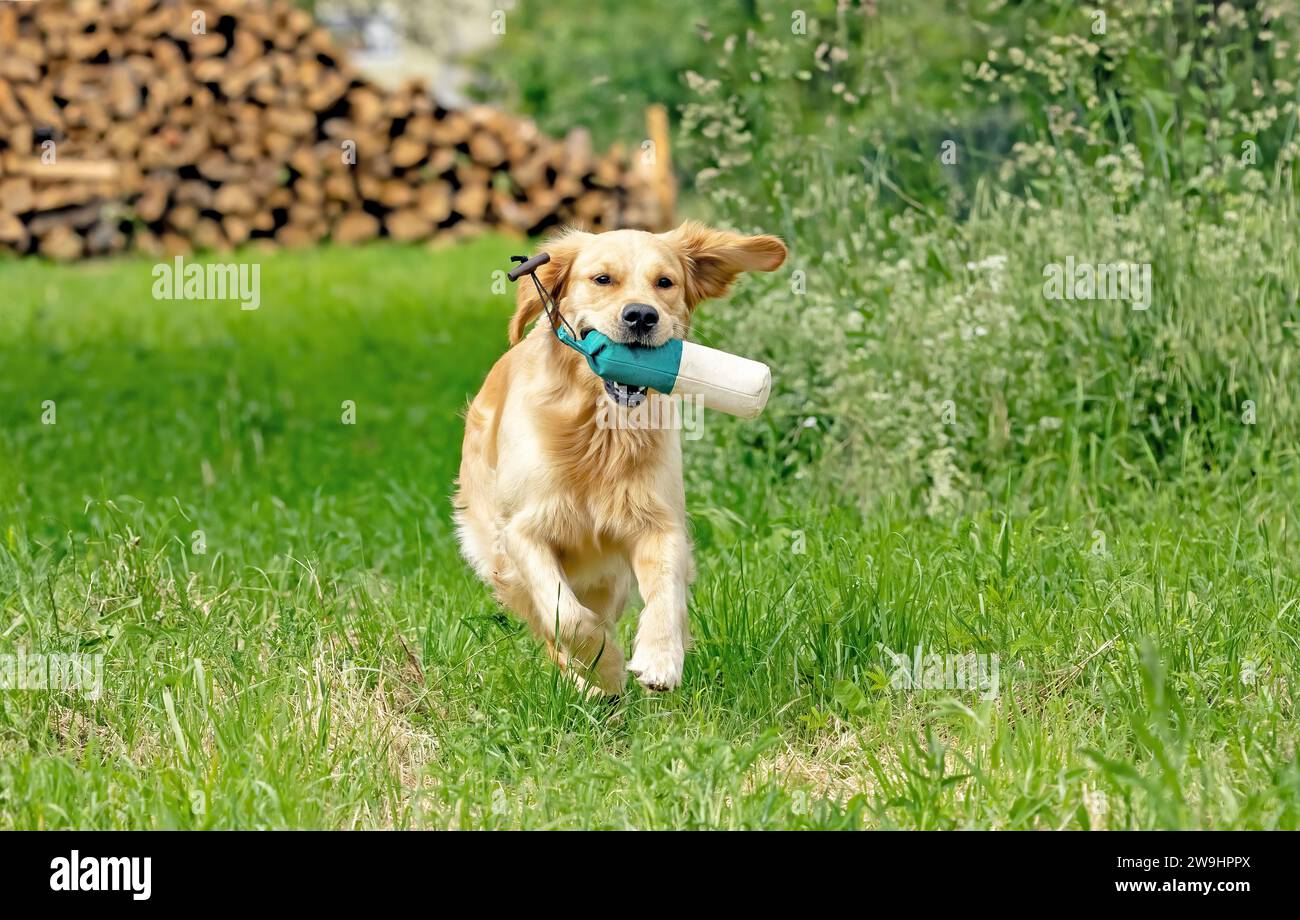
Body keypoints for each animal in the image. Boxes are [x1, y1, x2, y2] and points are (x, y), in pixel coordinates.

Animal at [452, 222, 785, 691]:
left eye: (665, 282)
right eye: (602, 279)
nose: (641, 316)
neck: (599, 430)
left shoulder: (659, 522)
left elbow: (665, 593)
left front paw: (661, 658)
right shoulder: (522, 531)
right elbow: (568, 617)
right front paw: (606, 669)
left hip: (606, 578)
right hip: (500, 558)